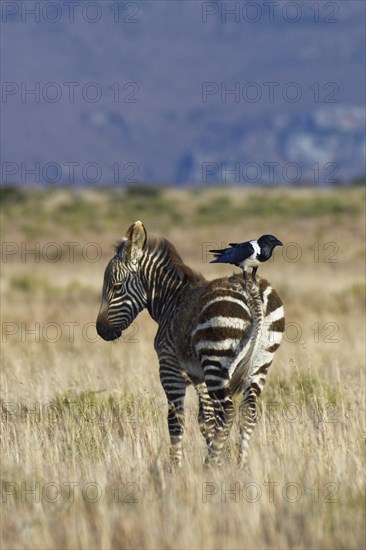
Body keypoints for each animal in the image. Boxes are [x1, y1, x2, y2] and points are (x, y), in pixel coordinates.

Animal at [96, 222, 284, 468]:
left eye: (116, 287)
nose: (101, 330)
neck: (171, 299)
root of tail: (251, 290)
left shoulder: (170, 367)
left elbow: (176, 421)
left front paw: (175, 467)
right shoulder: (198, 376)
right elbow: (206, 420)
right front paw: (218, 456)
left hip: (216, 358)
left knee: (228, 412)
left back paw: (209, 466)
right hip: (262, 359)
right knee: (248, 411)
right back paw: (240, 465)